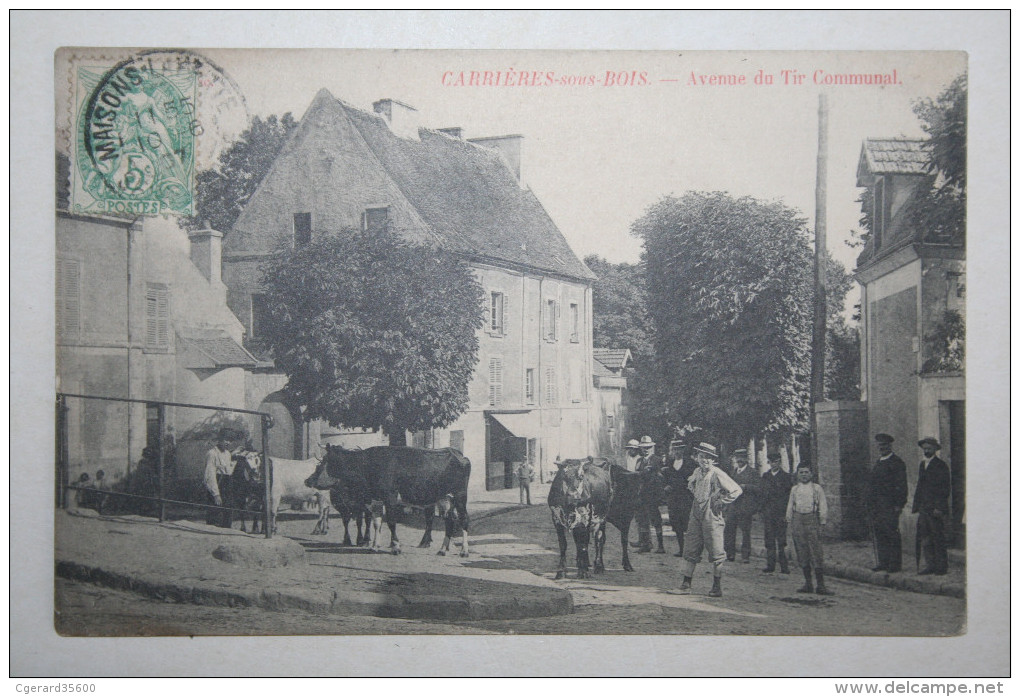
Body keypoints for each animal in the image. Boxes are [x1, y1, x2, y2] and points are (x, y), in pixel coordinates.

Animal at [303, 446, 471, 555]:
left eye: (322, 463)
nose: (307, 480)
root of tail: (458, 453)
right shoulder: (376, 500)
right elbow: (377, 523)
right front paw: (374, 546)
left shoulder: (390, 496)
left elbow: (390, 522)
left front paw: (395, 546)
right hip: (444, 498)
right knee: (449, 520)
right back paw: (442, 549)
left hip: (460, 494)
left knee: (464, 518)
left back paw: (464, 550)